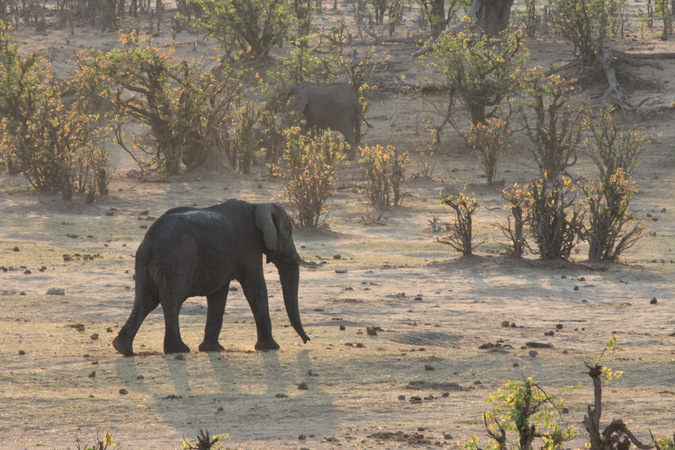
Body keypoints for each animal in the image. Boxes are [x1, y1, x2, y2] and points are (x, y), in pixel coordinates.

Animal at [113, 200, 314, 356]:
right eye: (288, 235)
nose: (307, 340)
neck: (257, 206)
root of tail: (149, 241)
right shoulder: (249, 247)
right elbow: (255, 290)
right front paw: (271, 347)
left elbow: (218, 295)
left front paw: (212, 348)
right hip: (176, 261)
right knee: (172, 301)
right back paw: (178, 349)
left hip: (144, 264)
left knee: (145, 302)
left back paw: (122, 348)